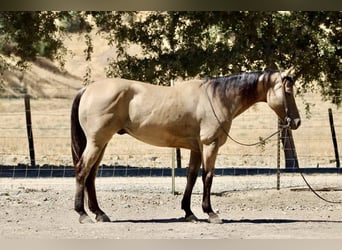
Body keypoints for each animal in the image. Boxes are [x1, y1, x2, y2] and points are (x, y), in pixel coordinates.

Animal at [71, 67, 300, 224]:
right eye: (288, 92)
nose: (296, 122)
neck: (217, 98)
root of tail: (87, 89)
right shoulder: (210, 145)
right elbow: (208, 177)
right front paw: (211, 213)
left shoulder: (196, 148)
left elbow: (191, 177)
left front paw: (189, 213)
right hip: (96, 142)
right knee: (82, 171)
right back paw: (83, 214)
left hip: (102, 144)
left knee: (91, 175)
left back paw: (99, 213)